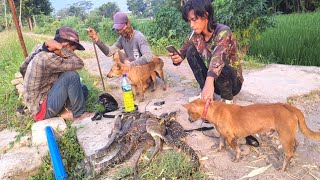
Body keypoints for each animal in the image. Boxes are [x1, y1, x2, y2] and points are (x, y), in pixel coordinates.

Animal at [182, 99, 320, 171]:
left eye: (189, 112)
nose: (188, 120)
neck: (213, 109)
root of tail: (289, 107)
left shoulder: (231, 138)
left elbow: (237, 150)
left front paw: (237, 158)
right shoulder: (222, 134)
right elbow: (221, 142)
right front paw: (219, 149)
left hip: (284, 136)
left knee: (289, 152)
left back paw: (283, 167)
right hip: (289, 135)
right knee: (295, 145)